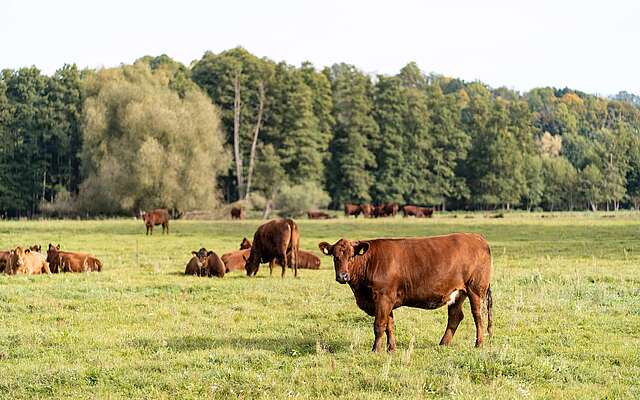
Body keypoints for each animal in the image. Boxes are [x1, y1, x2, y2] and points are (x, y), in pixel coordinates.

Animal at [318, 233, 493, 352]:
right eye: (335, 257)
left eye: (352, 256)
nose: (342, 276)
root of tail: (477, 237)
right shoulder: (386, 300)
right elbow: (389, 325)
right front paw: (391, 349)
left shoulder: (383, 297)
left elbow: (379, 325)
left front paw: (375, 350)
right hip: (458, 293)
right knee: (455, 316)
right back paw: (443, 343)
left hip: (476, 289)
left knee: (478, 315)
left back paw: (479, 344)